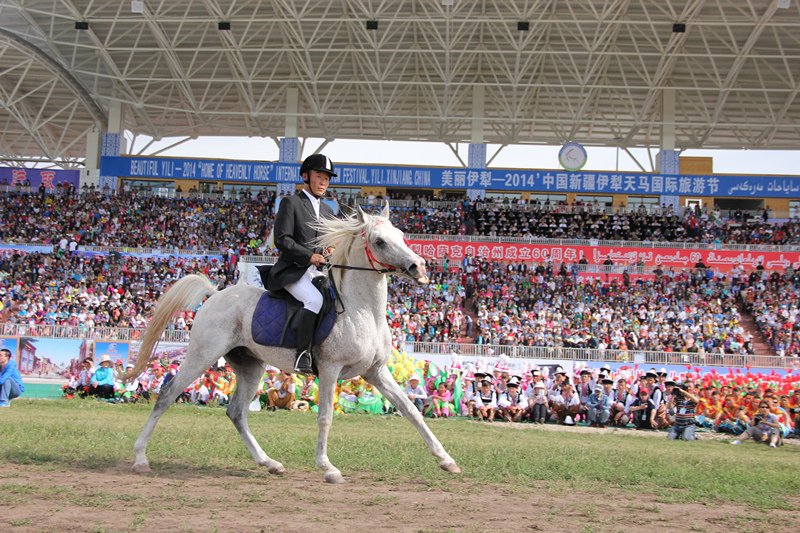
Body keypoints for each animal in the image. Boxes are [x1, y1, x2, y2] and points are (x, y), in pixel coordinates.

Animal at [127, 205, 460, 482]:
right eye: (379, 241)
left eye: (402, 236)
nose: (420, 268)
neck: (362, 311)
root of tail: (215, 294)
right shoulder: (330, 369)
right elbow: (325, 417)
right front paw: (327, 467)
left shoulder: (375, 372)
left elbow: (410, 410)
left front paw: (446, 460)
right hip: (203, 355)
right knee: (167, 395)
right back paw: (140, 458)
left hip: (250, 364)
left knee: (237, 412)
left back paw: (269, 463)